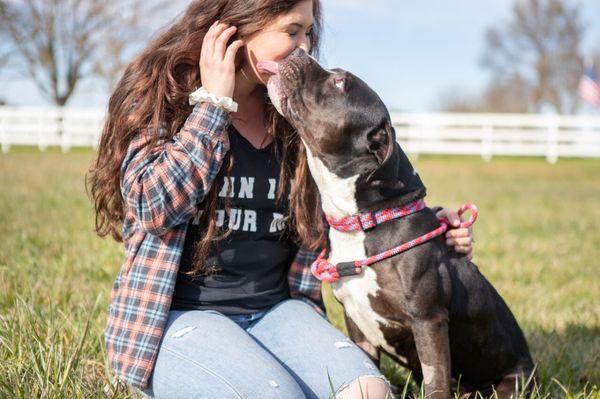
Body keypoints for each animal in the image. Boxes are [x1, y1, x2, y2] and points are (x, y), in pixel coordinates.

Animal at [258, 48, 536, 398]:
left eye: (340, 83)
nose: (297, 52)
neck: (365, 220)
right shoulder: (357, 325)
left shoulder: (428, 321)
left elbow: (436, 382)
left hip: (512, 381)